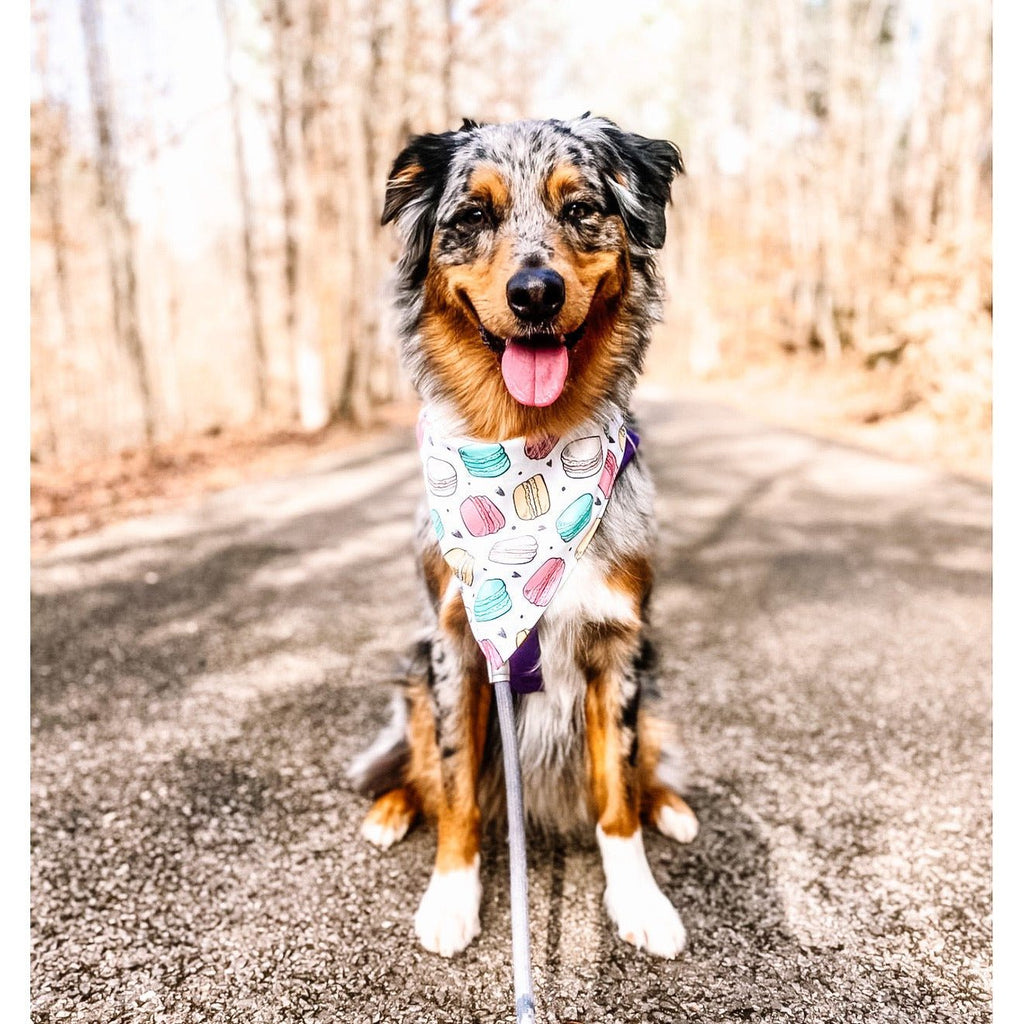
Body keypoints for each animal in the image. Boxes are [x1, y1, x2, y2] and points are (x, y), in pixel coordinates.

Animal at [348, 117, 700, 958]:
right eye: (472, 217)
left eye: (579, 209)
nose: (534, 292)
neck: (529, 448)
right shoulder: (459, 646)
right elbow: (456, 789)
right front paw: (451, 894)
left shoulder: (619, 650)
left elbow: (616, 793)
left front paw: (639, 898)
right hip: (412, 671)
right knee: (419, 768)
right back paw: (389, 809)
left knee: (647, 765)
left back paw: (671, 804)